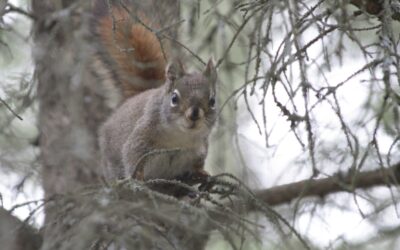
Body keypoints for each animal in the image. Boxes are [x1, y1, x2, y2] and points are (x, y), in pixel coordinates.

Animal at [93, 0, 219, 193]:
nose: (194, 115)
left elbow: (197, 164)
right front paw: (137, 179)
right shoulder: (140, 138)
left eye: (212, 101)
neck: (179, 137)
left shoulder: (200, 147)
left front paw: (202, 173)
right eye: (174, 98)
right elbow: (132, 158)